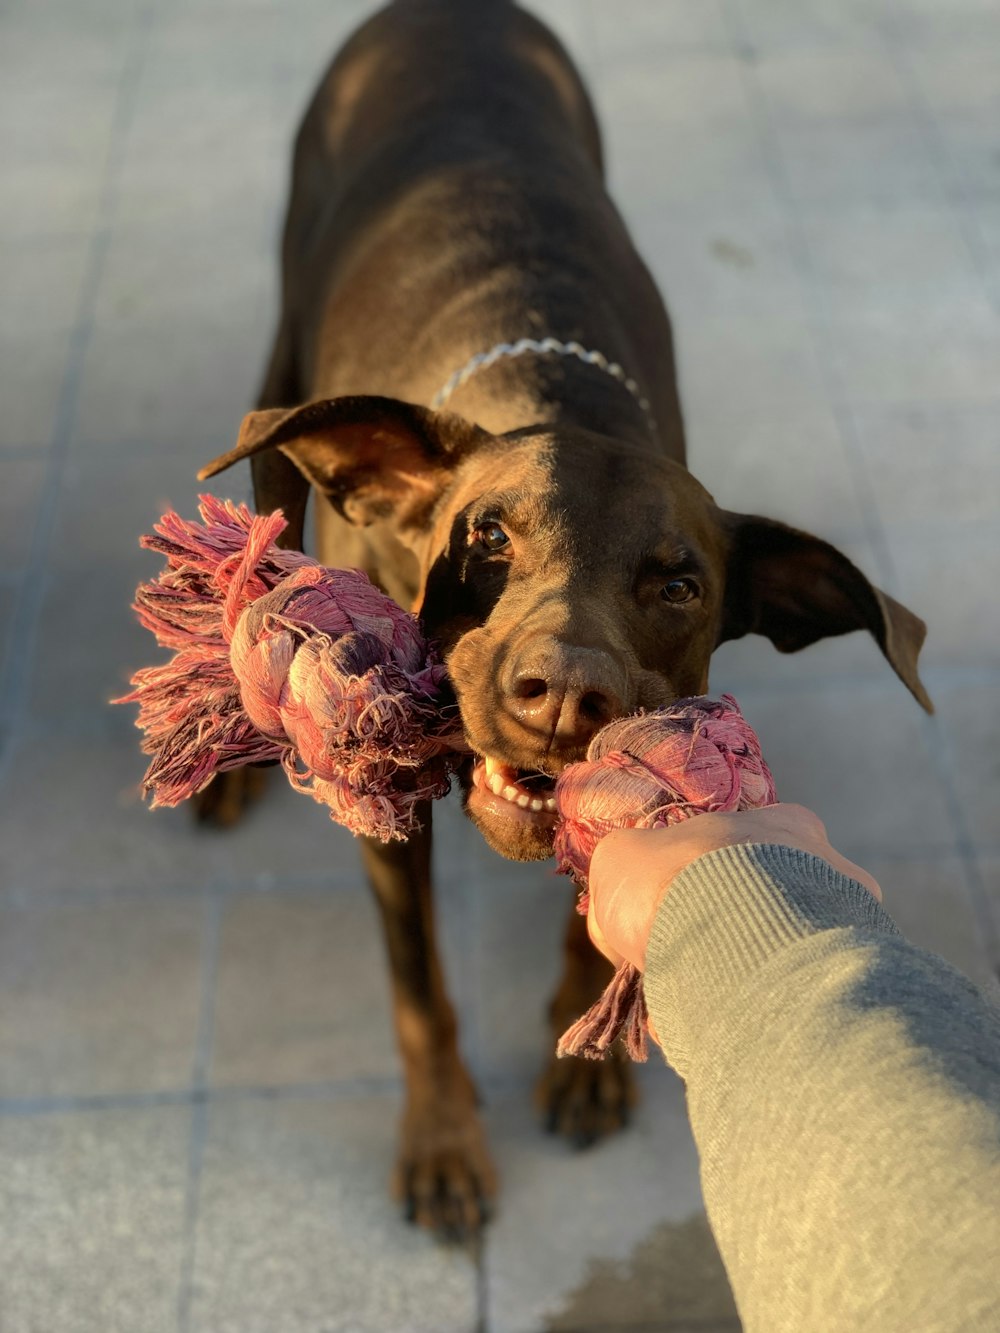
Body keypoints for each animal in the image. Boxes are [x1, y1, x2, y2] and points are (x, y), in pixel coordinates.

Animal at [196, 0, 933, 1237]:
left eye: (678, 583)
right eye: (486, 537)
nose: (564, 692)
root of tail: (449, 10)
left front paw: (584, 1050)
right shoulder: (383, 803)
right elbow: (420, 990)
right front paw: (444, 1140)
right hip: (280, 380)